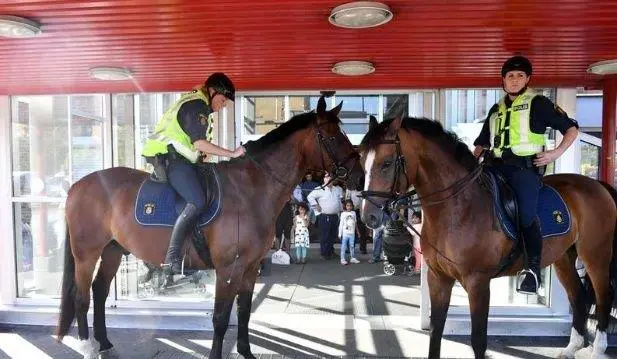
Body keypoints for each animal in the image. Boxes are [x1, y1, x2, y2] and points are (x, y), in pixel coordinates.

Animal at [54, 96, 360, 359]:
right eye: (333, 137)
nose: (358, 174)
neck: (250, 190)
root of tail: (78, 185)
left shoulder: (250, 268)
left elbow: (244, 312)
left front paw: (246, 351)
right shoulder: (229, 270)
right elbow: (221, 318)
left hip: (113, 250)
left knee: (99, 292)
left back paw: (105, 343)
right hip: (86, 254)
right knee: (81, 297)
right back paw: (87, 347)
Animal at [358, 117, 612, 359]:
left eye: (386, 163)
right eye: (362, 163)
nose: (368, 216)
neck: (458, 208)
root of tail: (597, 184)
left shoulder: (478, 283)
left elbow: (478, 339)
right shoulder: (438, 278)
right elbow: (435, 331)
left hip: (596, 257)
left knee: (603, 299)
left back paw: (598, 350)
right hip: (563, 259)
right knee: (578, 298)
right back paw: (571, 348)